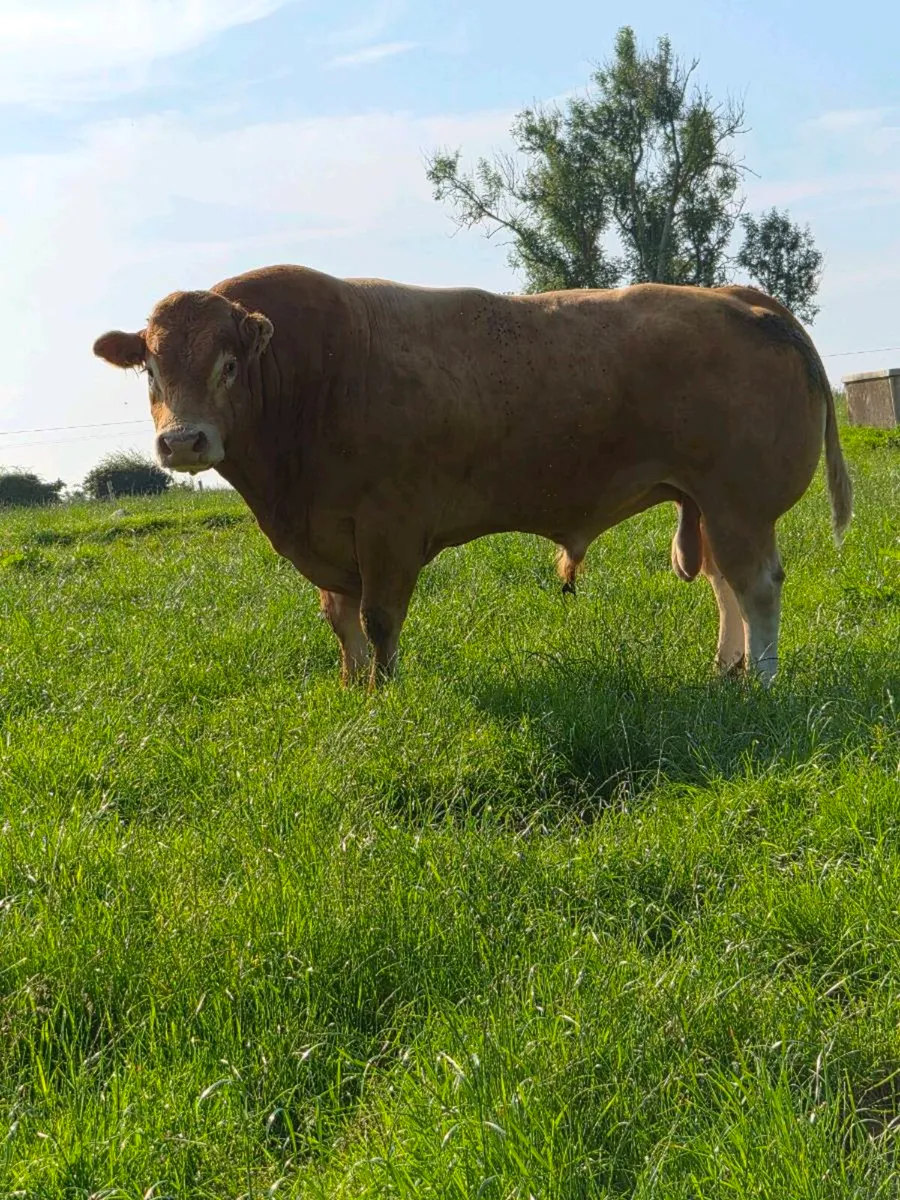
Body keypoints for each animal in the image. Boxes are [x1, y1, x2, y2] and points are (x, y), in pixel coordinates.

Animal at [93, 265, 852, 688]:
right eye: (151, 369)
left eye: (227, 365)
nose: (183, 440)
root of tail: (738, 298)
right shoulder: (328, 537)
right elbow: (341, 620)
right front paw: (351, 688)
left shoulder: (388, 527)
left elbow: (378, 619)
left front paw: (385, 695)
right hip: (709, 502)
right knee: (727, 584)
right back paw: (726, 671)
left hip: (739, 501)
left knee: (756, 586)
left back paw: (763, 682)